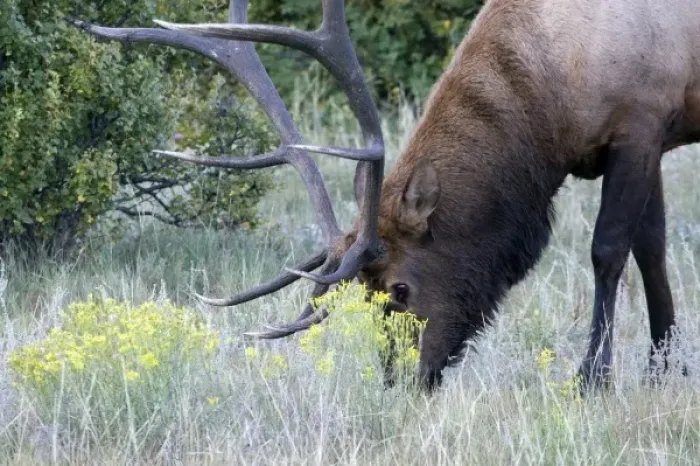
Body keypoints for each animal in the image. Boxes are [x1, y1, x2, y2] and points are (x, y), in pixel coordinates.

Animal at [68, 0, 700, 392]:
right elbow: (652, 248)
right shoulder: (649, 136)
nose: (401, 382)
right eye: (367, 296)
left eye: (400, 288)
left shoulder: (640, 121)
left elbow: (608, 251)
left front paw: (592, 381)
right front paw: (665, 370)